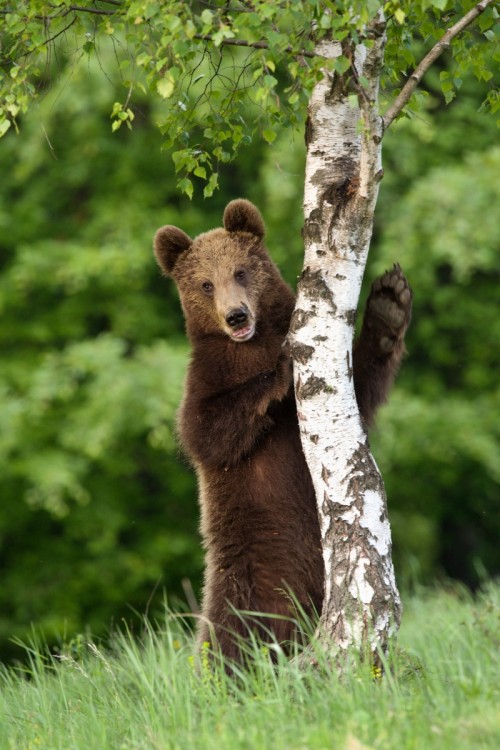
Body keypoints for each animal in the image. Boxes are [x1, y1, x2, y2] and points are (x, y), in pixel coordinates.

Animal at [154, 201, 412, 668]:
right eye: (204, 283)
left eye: (240, 271)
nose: (236, 315)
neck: (249, 343)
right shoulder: (205, 381)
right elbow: (205, 431)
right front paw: (282, 366)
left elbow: (363, 383)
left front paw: (389, 302)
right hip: (242, 577)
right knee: (227, 636)